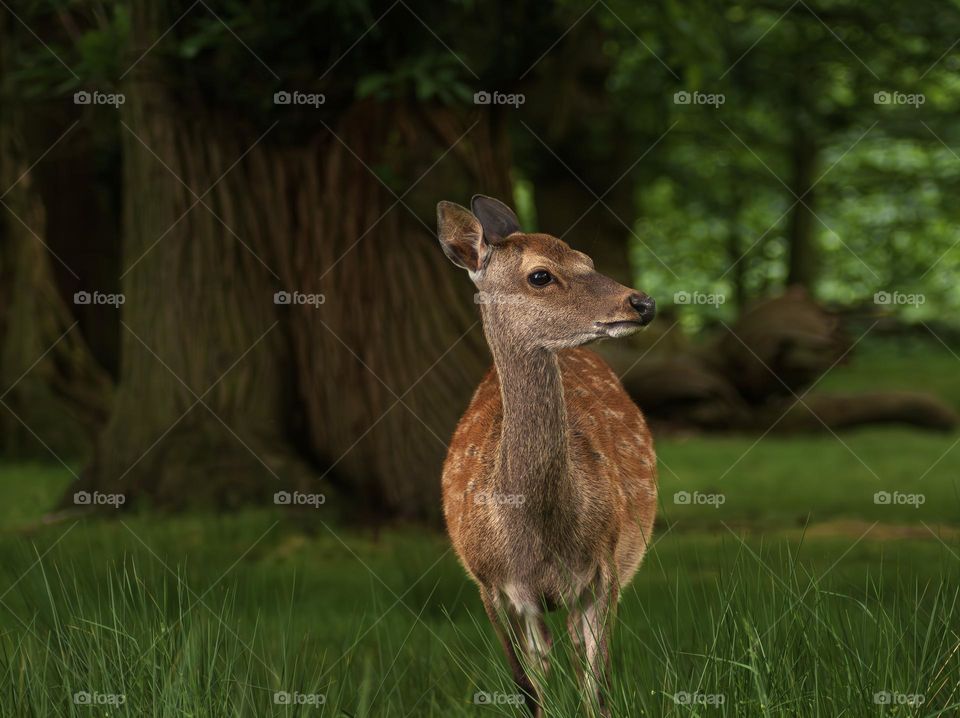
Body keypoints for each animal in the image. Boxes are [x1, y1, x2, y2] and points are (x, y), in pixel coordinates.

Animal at [436, 194, 656, 716]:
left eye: (587, 259)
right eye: (540, 275)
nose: (642, 302)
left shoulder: (605, 566)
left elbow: (597, 684)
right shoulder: (489, 583)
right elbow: (526, 686)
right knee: (545, 659)